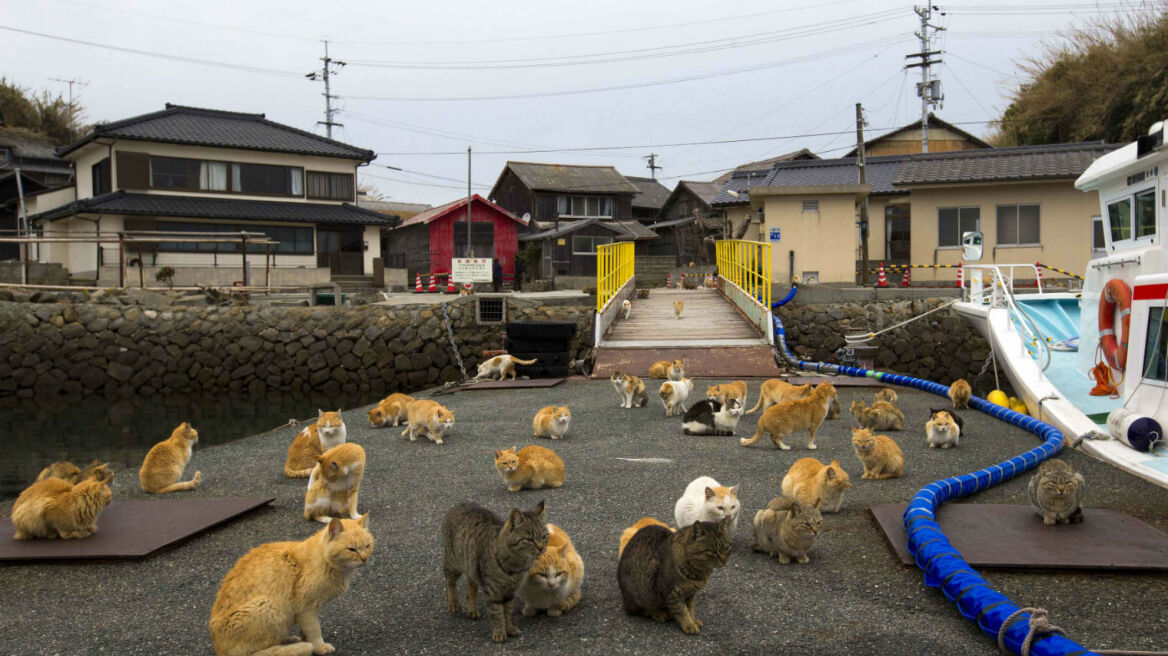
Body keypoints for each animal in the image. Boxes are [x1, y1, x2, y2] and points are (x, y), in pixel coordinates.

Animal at [207, 513, 373, 653]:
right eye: (352, 549)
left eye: (367, 546)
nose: (364, 558)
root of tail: (218, 648)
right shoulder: (306, 608)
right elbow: (314, 631)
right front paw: (319, 647)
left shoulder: (307, 612)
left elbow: (306, 631)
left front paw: (307, 640)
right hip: (270, 606)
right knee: (255, 652)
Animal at [441, 497, 546, 639]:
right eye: (530, 539)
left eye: (544, 537)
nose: (541, 548)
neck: (516, 565)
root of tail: (459, 503)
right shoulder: (493, 591)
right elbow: (498, 614)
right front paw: (499, 633)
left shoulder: (510, 592)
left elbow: (508, 612)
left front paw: (510, 629)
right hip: (454, 562)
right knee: (448, 579)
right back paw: (453, 602)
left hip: (472, 568)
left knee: (471, 587)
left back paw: (472, 609)